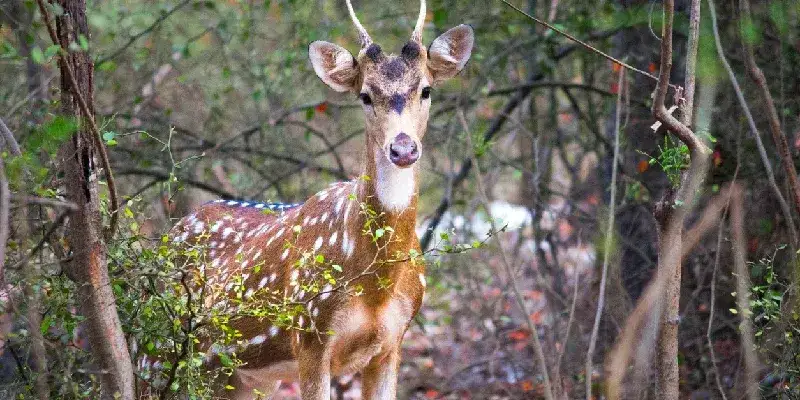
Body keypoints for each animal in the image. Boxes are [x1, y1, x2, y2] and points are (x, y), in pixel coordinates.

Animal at [145, 1, 474, 398]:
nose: (403, 148)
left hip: (237, 375)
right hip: (158, 347)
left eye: (425, 90)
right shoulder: (309, 335)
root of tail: (170, 233)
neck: (375, 289)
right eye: (365, 95)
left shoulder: (392, 342)